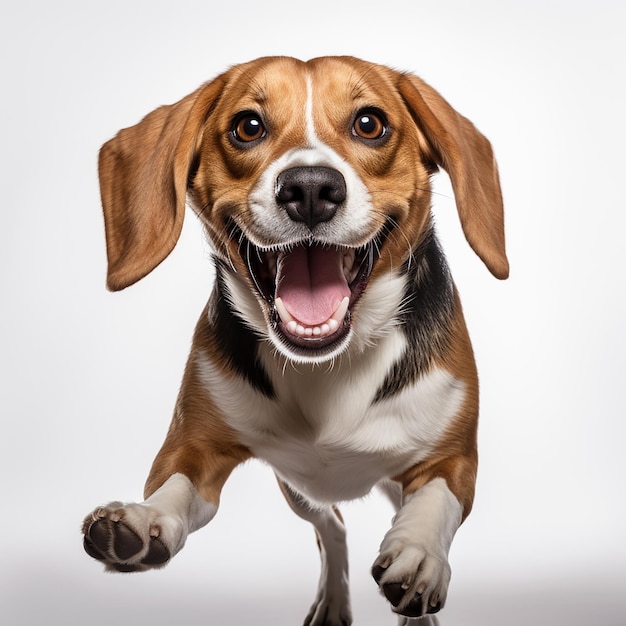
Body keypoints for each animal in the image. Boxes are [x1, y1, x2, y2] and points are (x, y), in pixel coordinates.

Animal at [81, 56, 508, 620]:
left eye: (369, 123)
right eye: (248, 127)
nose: (309, 188)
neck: (328, 364)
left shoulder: (453, 460)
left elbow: (436, 501)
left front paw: (417, 553)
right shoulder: (192, 446)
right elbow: (176, 485)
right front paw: (144, 521)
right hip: (300, 487)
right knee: (332, 525)